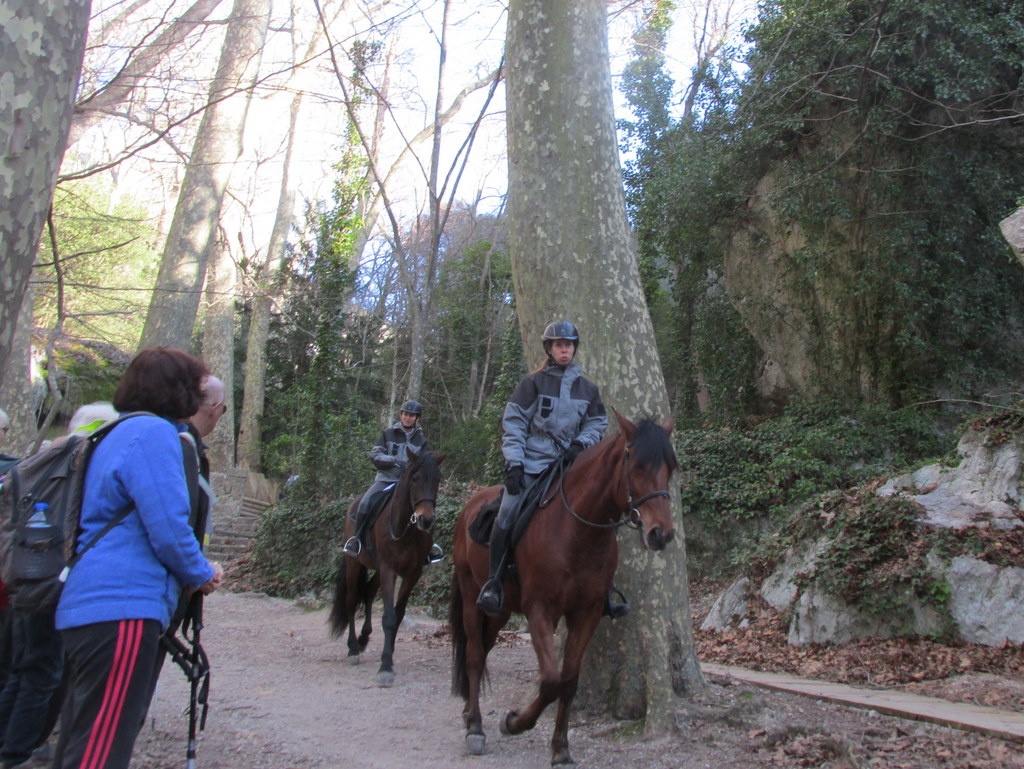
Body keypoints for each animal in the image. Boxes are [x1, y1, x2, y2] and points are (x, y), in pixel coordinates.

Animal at [325, 444, 442, 684]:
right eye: (415, 478)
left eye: (438, 479)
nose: (426, 519)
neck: (407, 529)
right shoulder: (389, 570)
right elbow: (388, 617)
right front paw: (386, 667)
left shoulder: (412, 574)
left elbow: (398, 615)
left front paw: (388, 656)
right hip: (355, 564)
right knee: (351, 601)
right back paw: (353, 648)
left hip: (377, 569)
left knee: (369, 593)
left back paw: (363, 638)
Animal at [450, 415, 675, 765]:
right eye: (636, 465)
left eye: (670, 468)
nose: (660, 534)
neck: (576, 532)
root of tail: (470, 506)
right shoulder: (540, 611)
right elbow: (550, 681)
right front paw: (514, 722)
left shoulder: (587, 613)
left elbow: (568, 682)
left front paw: (561, 749)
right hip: (472, 597)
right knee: (473, 656)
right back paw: (475, 727)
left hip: (500, 609)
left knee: (483, 650)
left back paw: (467, 713)